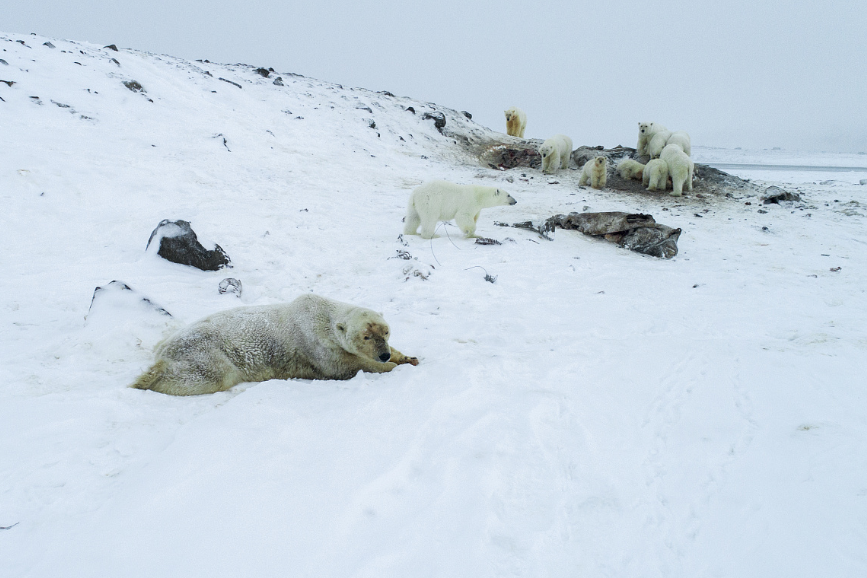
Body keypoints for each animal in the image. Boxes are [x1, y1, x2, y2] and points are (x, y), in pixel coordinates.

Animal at [131, 292, 422, 396]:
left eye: (386, 332)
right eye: (366, 336)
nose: (383, 354)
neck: (322, 315)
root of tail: (164, 347)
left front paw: (408, 357)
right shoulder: (315, 344)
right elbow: (344, 366)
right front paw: (392, 368)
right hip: (205, 351)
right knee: (208, 375)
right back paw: (145, 379)